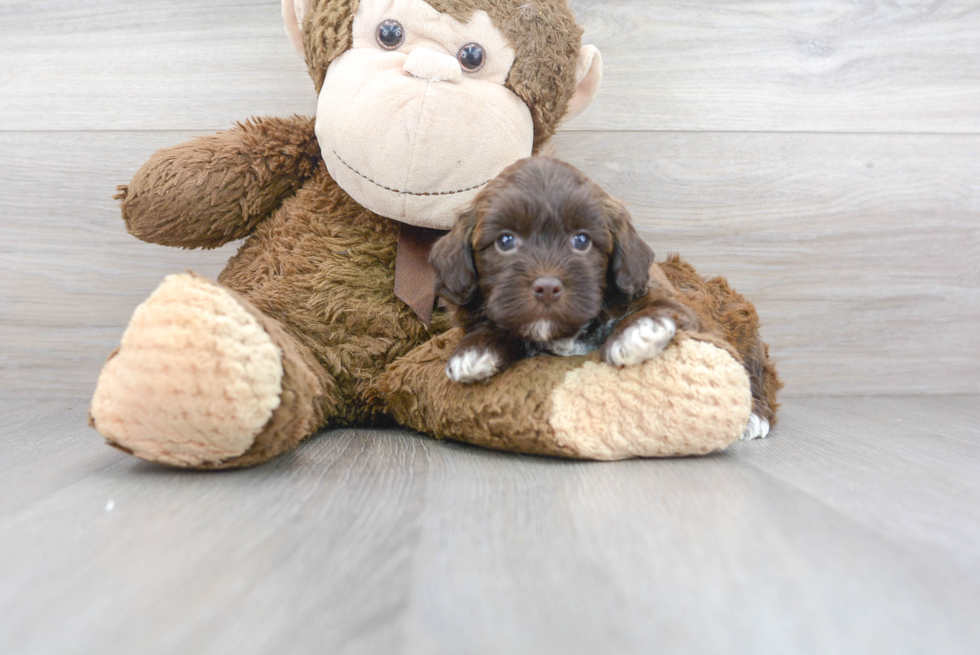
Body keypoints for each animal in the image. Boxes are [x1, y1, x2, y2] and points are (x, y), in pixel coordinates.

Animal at [428, 156, 780, 438]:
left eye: (581, 241)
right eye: (505, 241)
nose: (547, 287)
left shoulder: (688, 312)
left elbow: (665, 309)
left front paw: (637, 331)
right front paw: (474, 350)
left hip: (744, 331)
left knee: (755, 375)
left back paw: (754, 416)